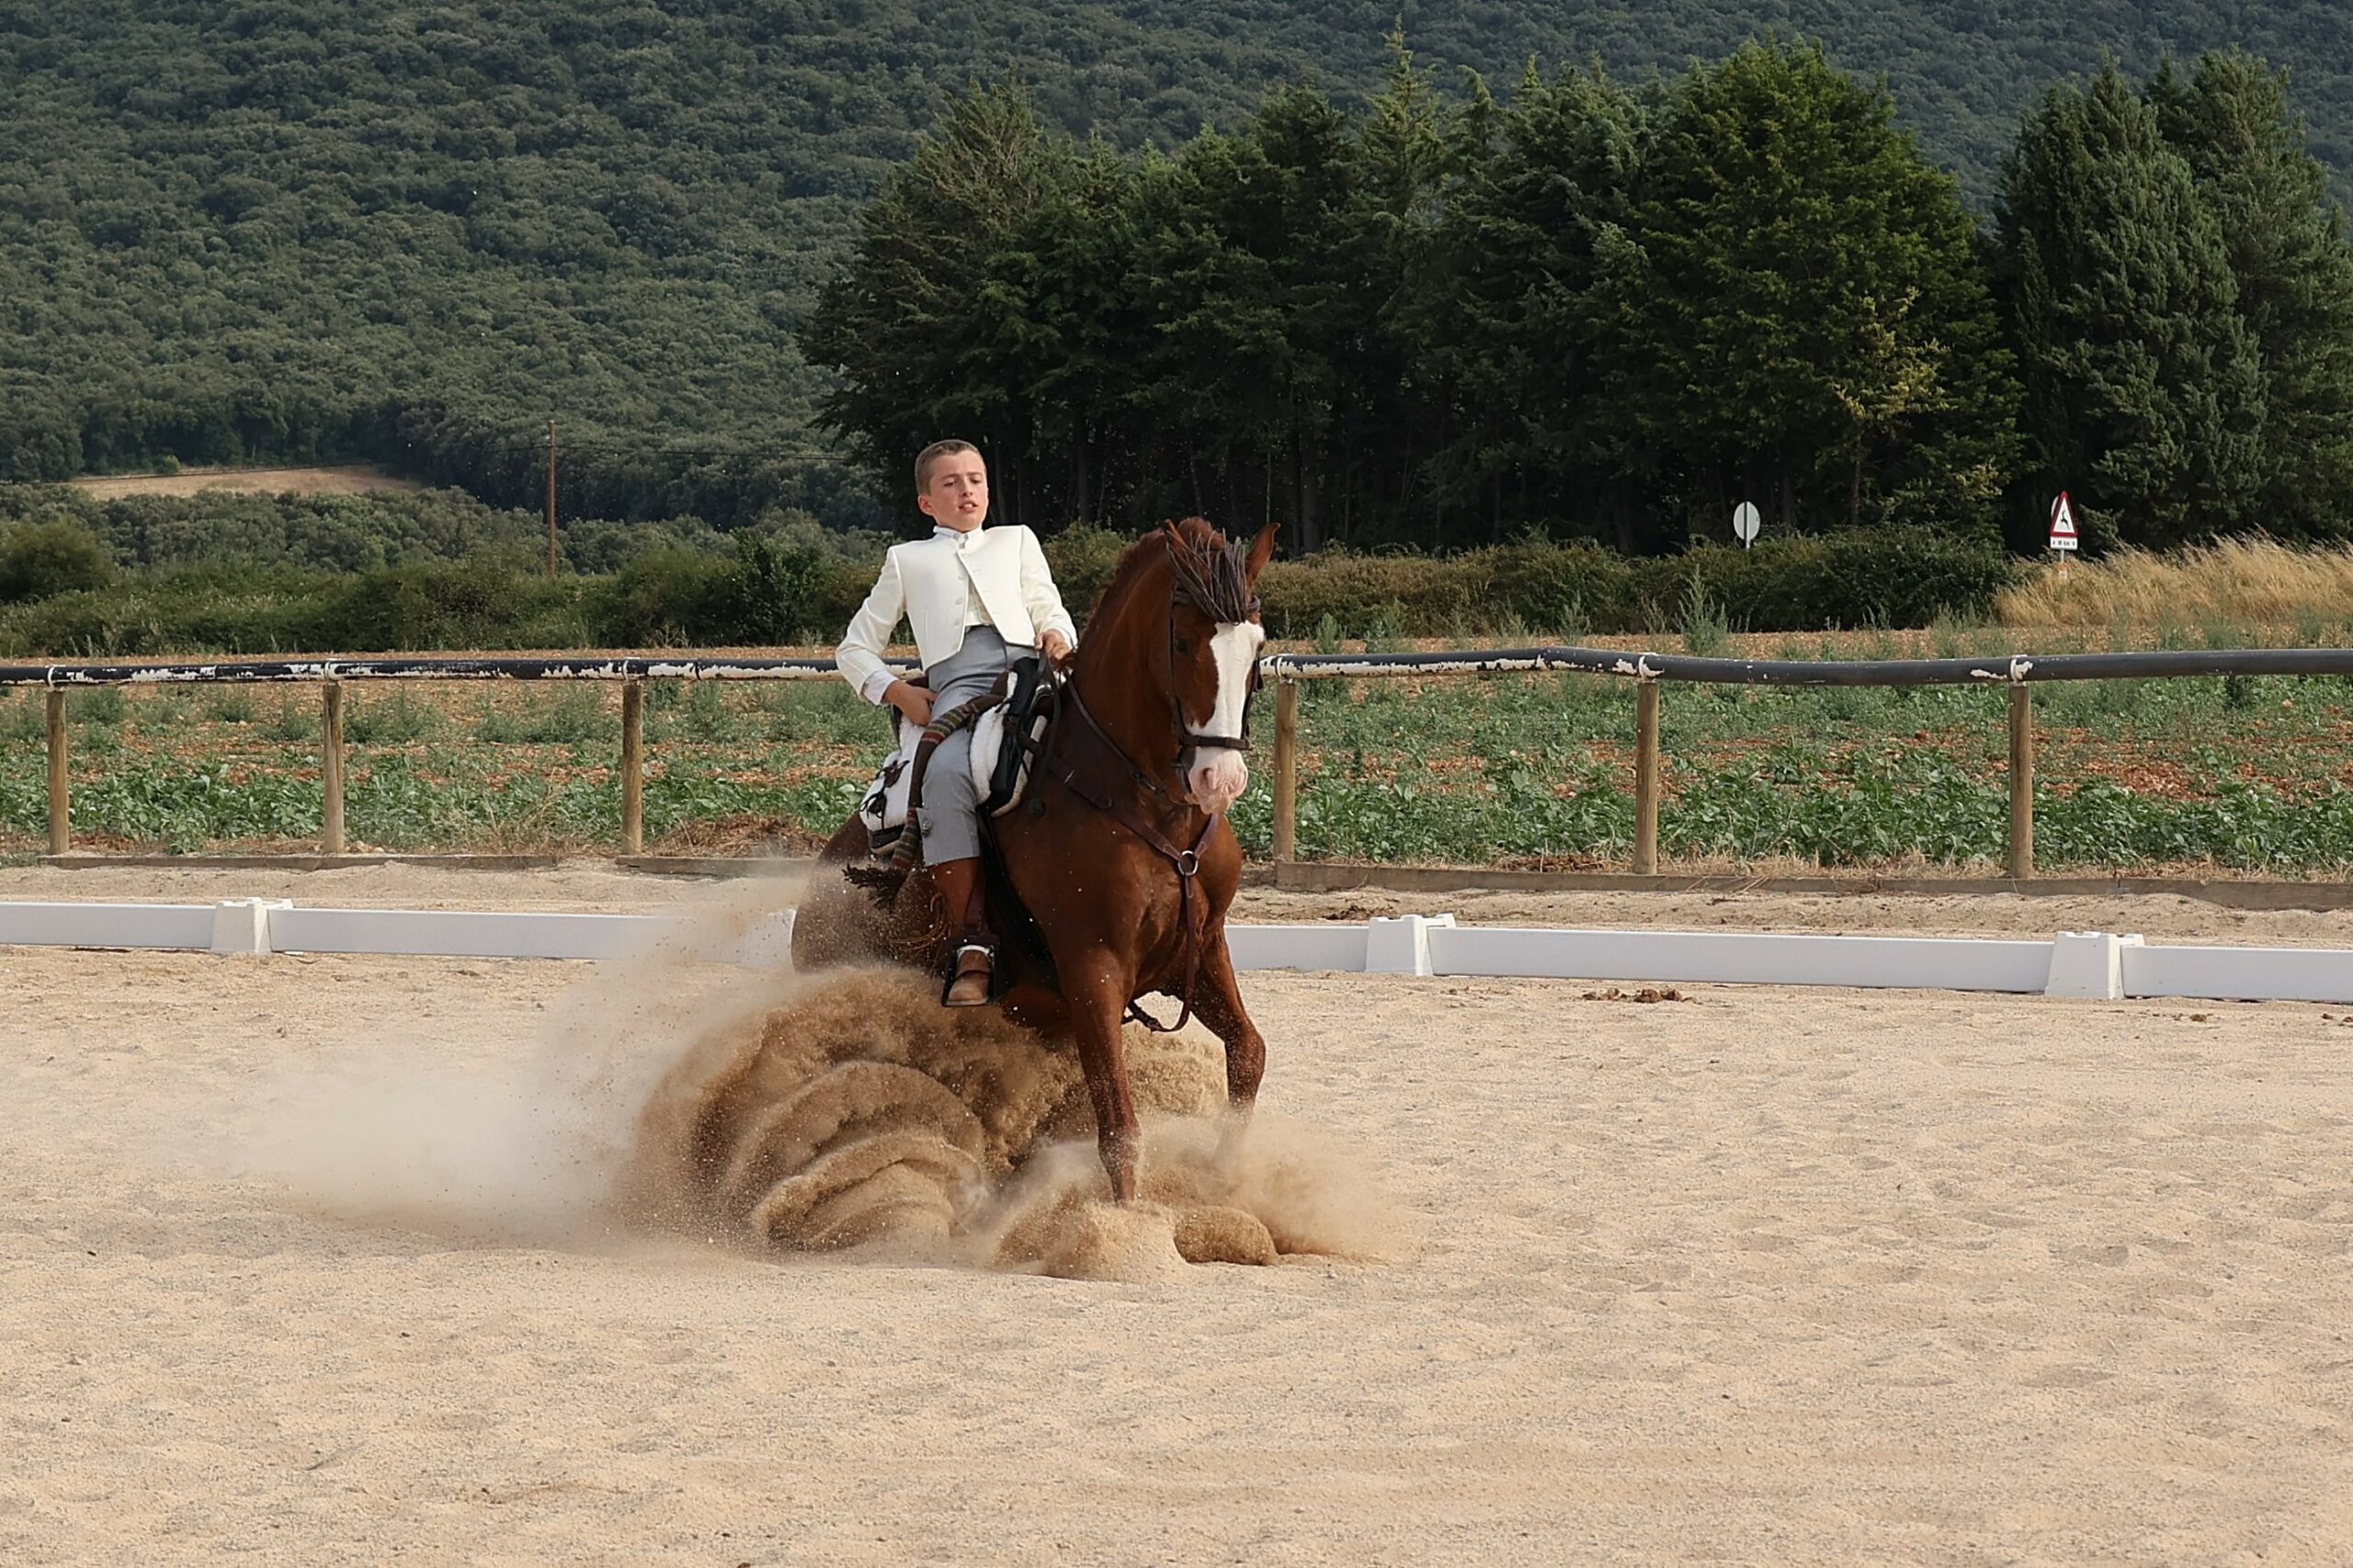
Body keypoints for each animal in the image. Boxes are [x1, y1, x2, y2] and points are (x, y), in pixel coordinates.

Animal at [790, 513, 1279, 1196]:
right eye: (1183, 643)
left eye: (1256, 646)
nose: (1220, 778)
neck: (1145, 801)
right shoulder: (1093, 969)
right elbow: (1119, 1130)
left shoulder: (1202, 947)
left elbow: (1248, 1054)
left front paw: (1226, 1179)